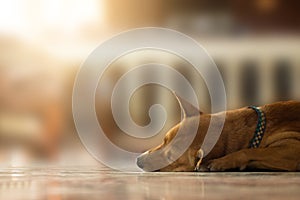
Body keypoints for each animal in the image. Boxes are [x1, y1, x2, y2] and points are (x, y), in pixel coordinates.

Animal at [137, 95, 300, 172]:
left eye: (170, 158)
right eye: (164, 140)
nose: (138, 161)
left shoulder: (293, 148)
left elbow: (249, 151)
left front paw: (221, 162)